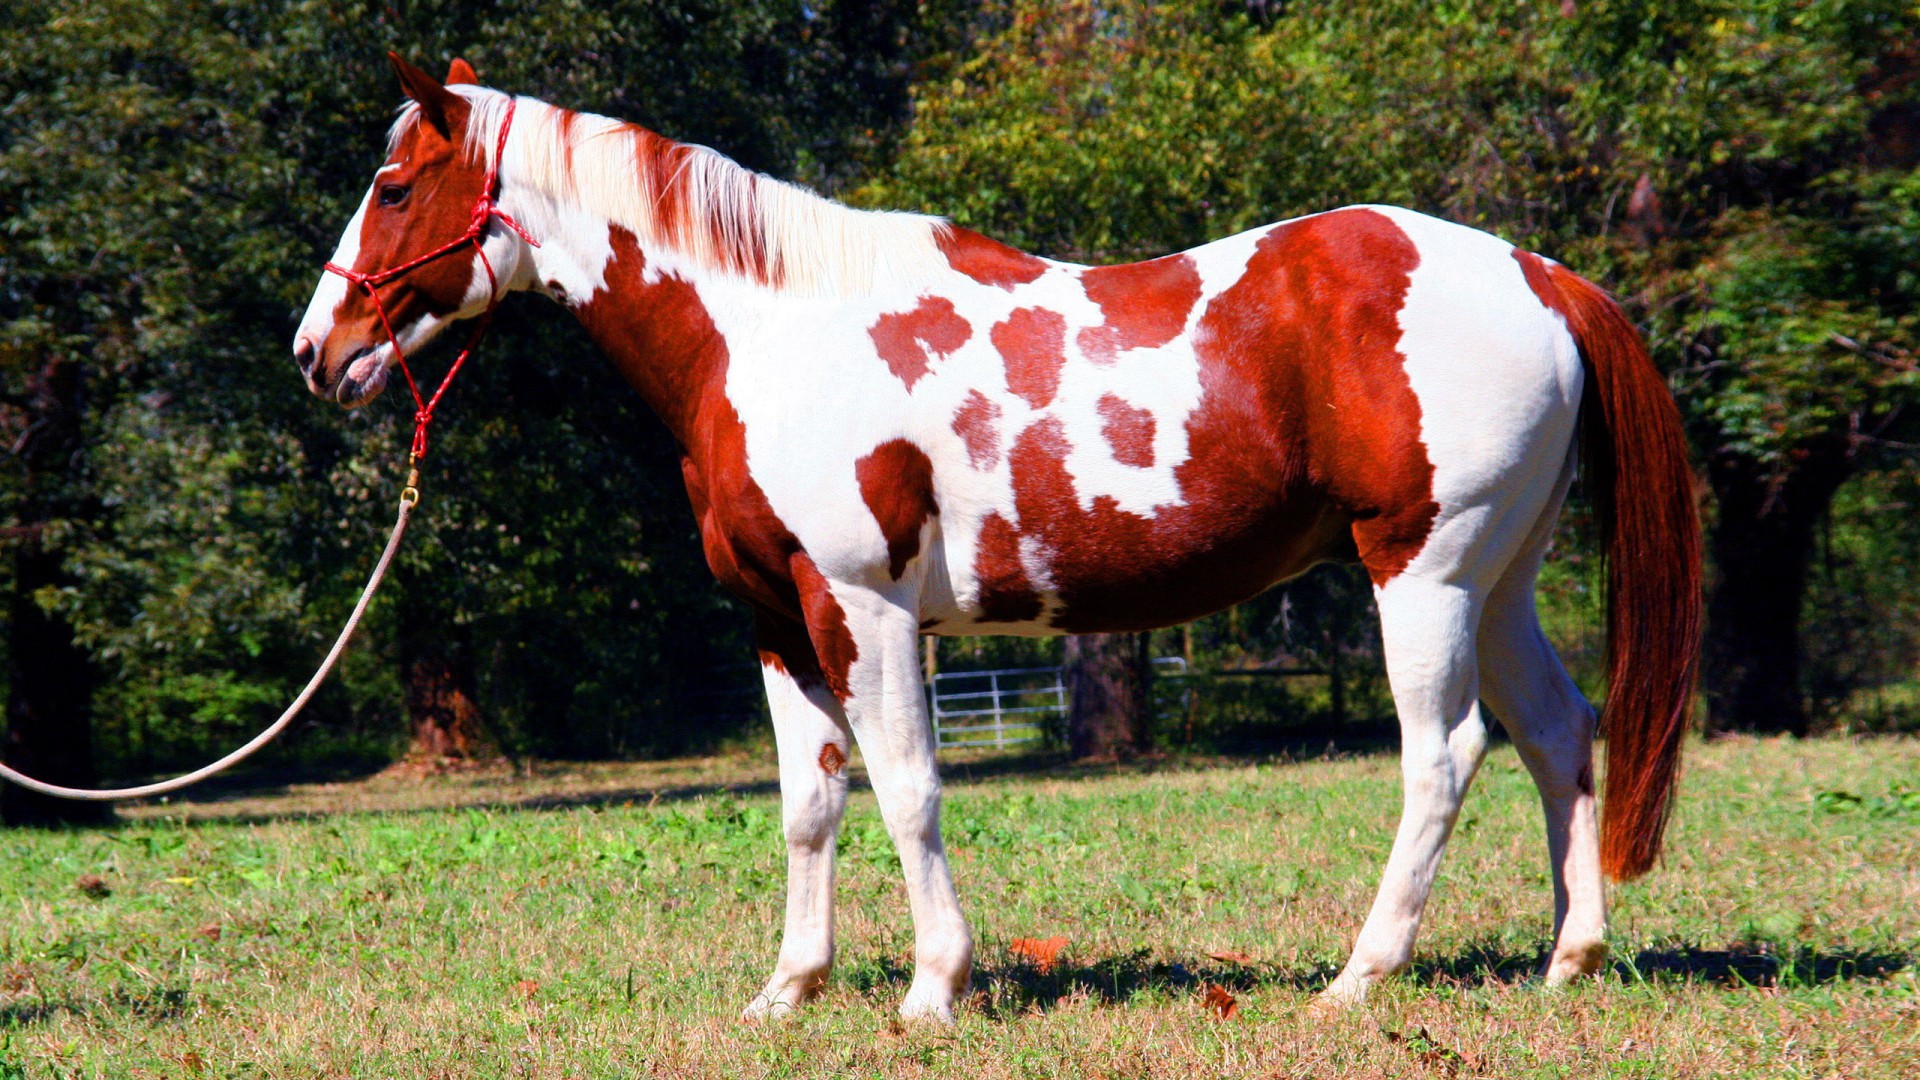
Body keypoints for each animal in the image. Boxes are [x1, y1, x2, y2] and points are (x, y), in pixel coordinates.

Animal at [295, 56, 1697, 1014]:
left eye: (393, 186)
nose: (318, 352)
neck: (768, 334)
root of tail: (1535, 270)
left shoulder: (864, 608)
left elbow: (909, 787)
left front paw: (934, 987)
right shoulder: (775, 620)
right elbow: (811, 800)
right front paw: (790, 990)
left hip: (1425, 571)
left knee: (1443, 754)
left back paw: (1361, 974)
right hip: (1498, 579)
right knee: (1558, 732)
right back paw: (1570, 960)